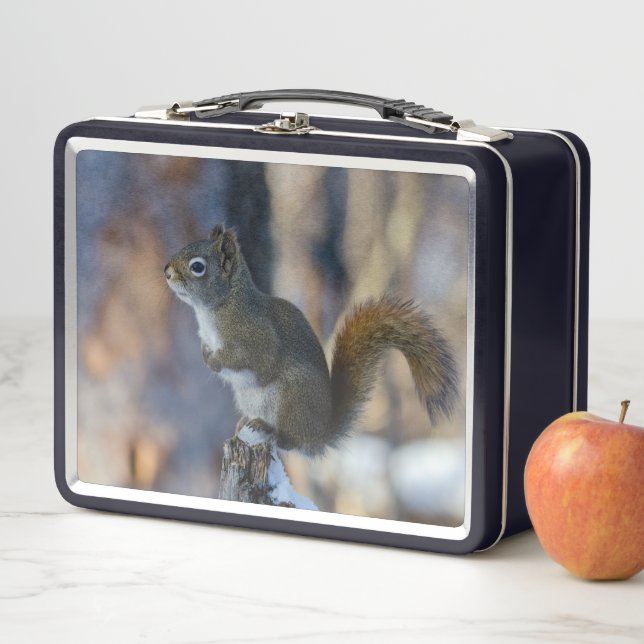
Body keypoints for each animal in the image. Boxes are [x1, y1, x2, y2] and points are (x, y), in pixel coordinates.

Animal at [164, 224, 458, 456]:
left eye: (197, 267)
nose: (166, 271)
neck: (218, 307)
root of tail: (320, 432)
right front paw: (205, 355)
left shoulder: (256, 336)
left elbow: (250, 358)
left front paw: (215, 362)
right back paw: (245, 424)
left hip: (292, 395)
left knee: (291, 442)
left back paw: (268, 429)